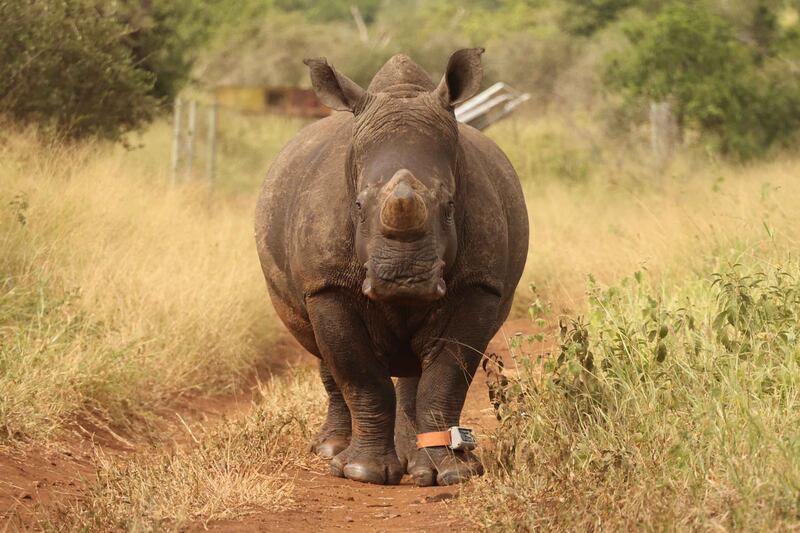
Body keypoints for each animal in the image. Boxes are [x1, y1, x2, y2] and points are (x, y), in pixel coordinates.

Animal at [256, 50, 528, 486]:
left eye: (449, 206)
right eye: (358, 206)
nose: (404, 279)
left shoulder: (480, 285)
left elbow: (445, 379)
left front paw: (452, 474)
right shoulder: (327, 284)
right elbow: (361, 376)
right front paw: (360, 472)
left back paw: (413, 463)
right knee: (325, 355)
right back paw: (331, 450)